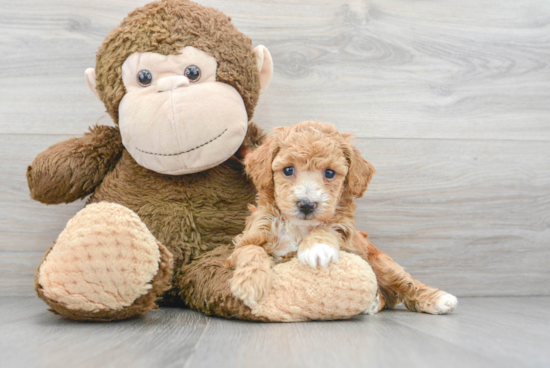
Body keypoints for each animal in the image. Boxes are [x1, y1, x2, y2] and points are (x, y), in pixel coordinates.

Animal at [227, 122, 376, 306]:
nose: (306, 205)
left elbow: (330, 227)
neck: (298, 227)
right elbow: (251, 249)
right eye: (288, 170)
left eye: (329, 173)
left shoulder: (347, 232)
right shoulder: (254, 232)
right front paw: (250, 282)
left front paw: (317, 247)